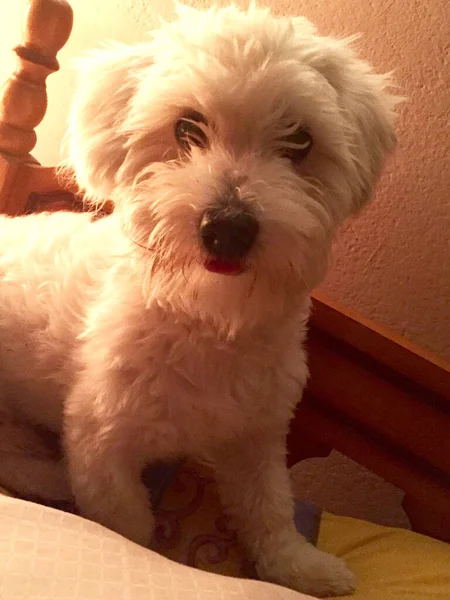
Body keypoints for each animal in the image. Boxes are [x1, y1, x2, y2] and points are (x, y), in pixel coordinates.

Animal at [0, 3, 396, 596]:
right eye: (186, 127)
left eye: (299, 141)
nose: (228, 229)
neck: (207, 316)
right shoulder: (102, 445)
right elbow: (131, 529)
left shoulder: (256, 437)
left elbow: (270, 511)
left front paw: (302, 567)